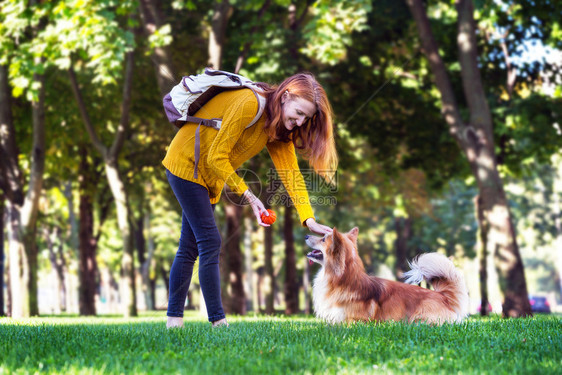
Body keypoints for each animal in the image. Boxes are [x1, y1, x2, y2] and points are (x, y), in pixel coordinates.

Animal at [304, 228, 466, 324]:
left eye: (323, 239)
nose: (305, 235)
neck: (342, 279)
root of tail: (443, 296)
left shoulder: (355, 321)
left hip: (420, 319)